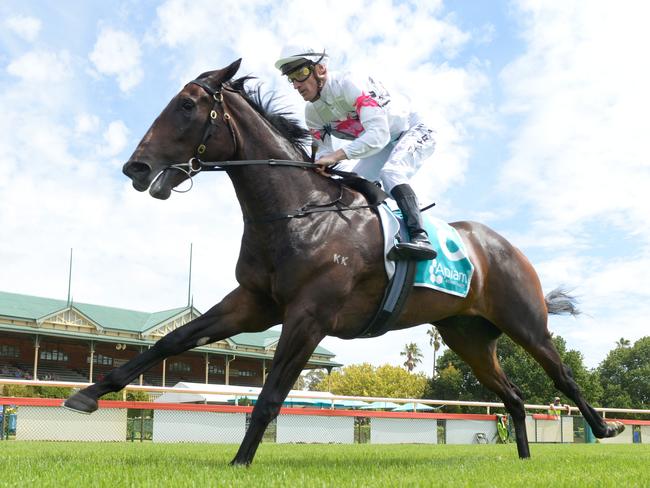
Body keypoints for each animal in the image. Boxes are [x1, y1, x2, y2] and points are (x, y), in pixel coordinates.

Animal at [66, 59, 624, 464]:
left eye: (185, 104)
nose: (135, 167)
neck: (298, 210)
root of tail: (502, 245)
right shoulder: (254, 303)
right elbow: (172, 341)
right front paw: (88, 394)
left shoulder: (310, 315)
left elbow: (270, 394)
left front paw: (240, 463)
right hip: (466, 336)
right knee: (511, 395)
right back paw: (525, 459)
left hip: (523, 321)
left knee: (560, 374)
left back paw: (604, 426)